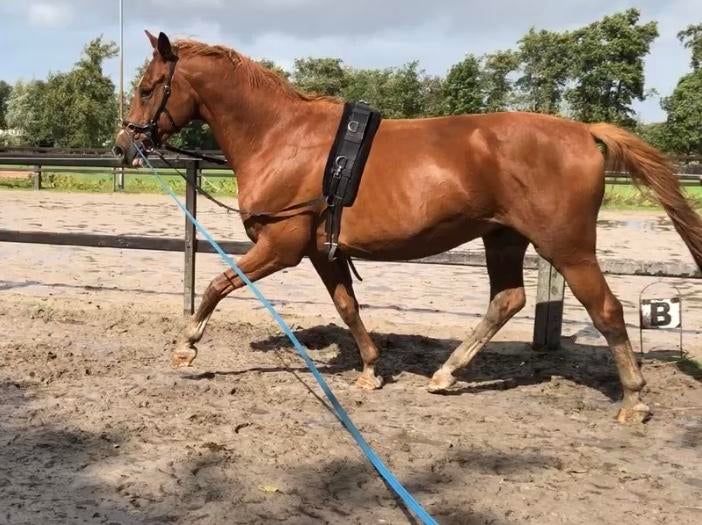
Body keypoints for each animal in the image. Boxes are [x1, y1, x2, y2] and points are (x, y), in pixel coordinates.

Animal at [114, 31, 702, 424]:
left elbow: (218, 283)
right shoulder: (324, 251)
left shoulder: (282, 245)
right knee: (507, 299)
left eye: (146, 87)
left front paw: (187, 346)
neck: (281, 137)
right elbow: (347, 306)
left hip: (569, 247)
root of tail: (583, 132)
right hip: (503, 237)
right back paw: (445, 374)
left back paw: (633, 399)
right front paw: (371, 369)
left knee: (606, 310)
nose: (123, 146)